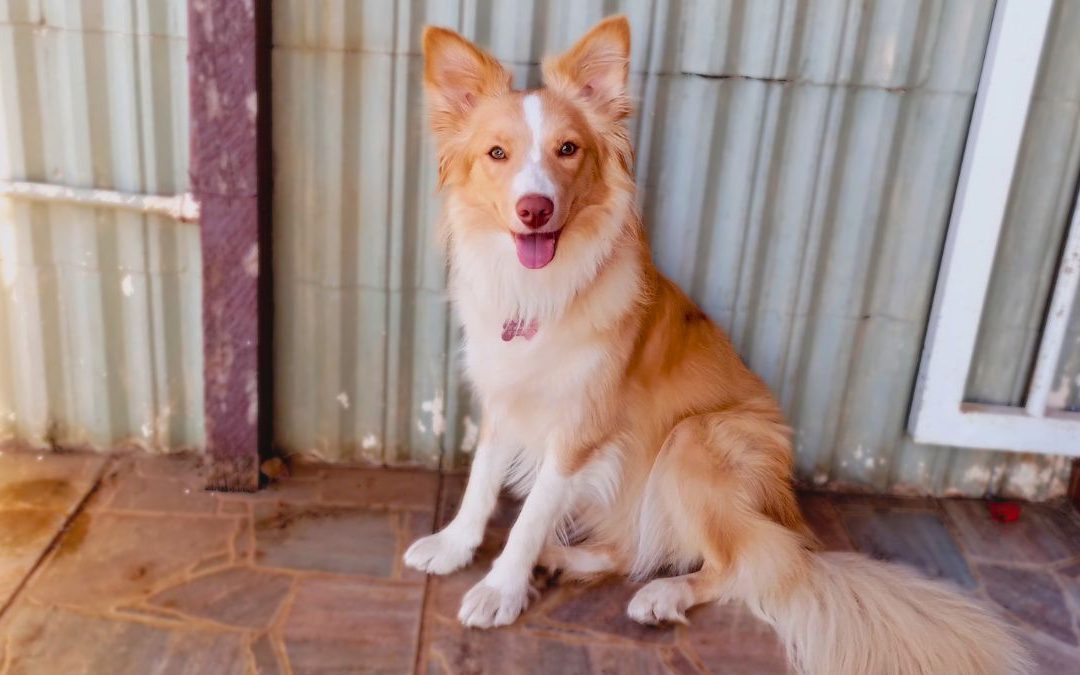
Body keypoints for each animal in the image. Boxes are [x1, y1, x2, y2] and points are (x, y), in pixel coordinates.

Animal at [403, 15, 1028, 673]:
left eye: (567, 150)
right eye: (497, 153)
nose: (534, 209)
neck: (542, 292)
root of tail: (794, 525)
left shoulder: (579, 431)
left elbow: (528, 517)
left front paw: (500, 587)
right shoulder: (505, 398)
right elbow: (480, 483)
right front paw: (455, 546)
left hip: (693, 442)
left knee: (754, 565)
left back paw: (663, 593)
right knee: (632, 549)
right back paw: (562, 561)